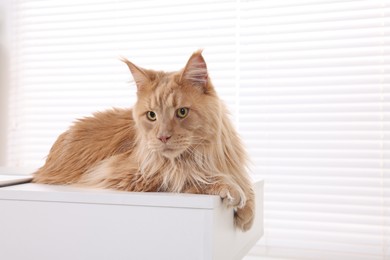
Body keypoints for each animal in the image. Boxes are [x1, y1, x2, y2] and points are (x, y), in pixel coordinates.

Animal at [32, 50, 254, 232]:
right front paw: (231, 189)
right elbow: (187, 178)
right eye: (151, 115)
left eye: (182, 112)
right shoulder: (124, 174)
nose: (163, 136)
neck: (201, 155)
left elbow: (244, 182)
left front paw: (248, 210)